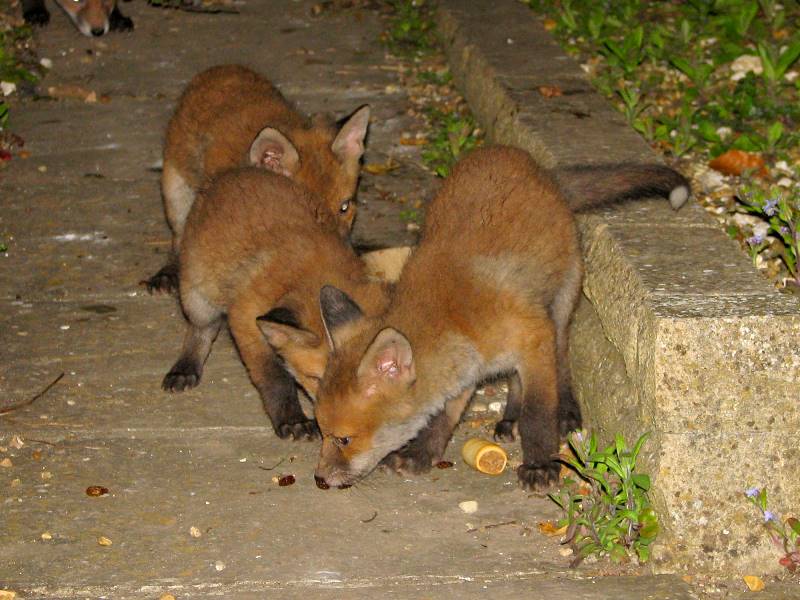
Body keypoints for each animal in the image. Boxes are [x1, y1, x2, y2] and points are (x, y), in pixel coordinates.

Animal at [144, 64, 370, 294]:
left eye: (344, 207)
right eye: (311, 213)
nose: (346, 257)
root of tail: (222, 68)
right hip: (176, 193)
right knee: (179, 238)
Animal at [164, 167, 390, 440]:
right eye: (316, 379)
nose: (334, 424)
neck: (312, 275)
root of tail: (231, 172)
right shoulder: (245, 318)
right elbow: (275, 378)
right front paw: (291, 419)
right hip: (197, 297)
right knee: (202, 330)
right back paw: (186, 367)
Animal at [297, 145, 689, 490]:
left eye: (344, 439)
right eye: (322, 431)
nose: (320, 478)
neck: (455, 315)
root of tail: (535, 166)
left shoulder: (533, 335)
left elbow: (538, 413)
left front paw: (540, 464)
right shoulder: (465, 371)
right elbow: (444, 415)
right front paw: (422, 454)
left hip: (561, 306)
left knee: (560, 360)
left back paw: (563, 412)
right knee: (516, 381)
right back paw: (509, 418)